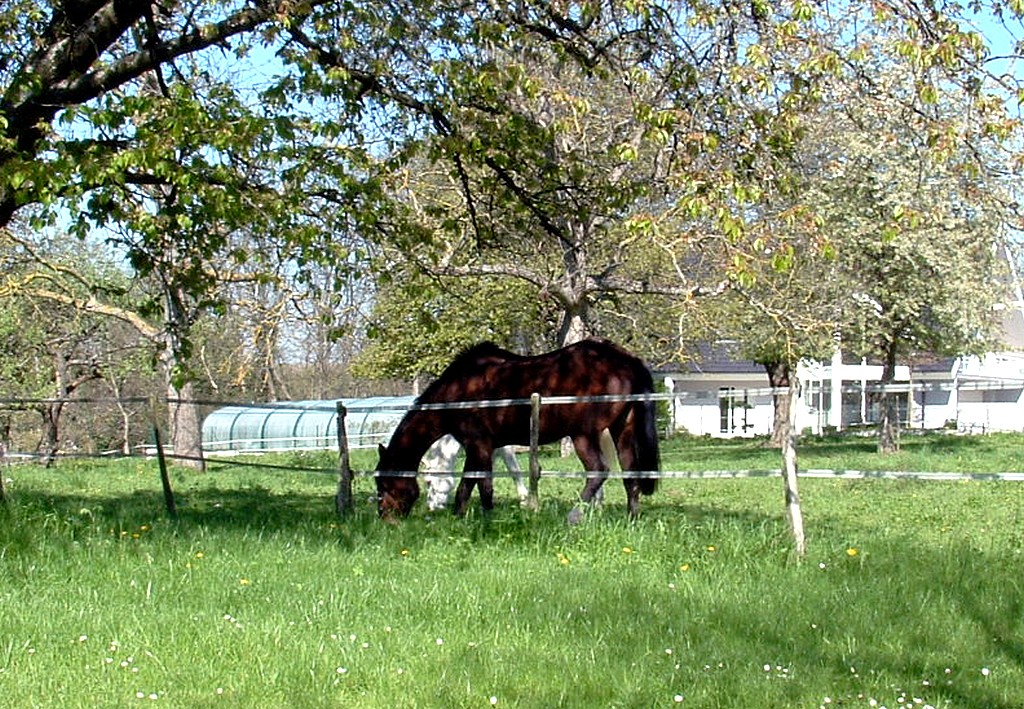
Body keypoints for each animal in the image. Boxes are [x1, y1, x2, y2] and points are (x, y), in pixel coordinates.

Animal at [374, 338, 655, 520]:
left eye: (384, 484)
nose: (385, 517)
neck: (458, 391)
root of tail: (626, 360)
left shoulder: (479, 445)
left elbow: (478, 485)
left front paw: (480, 519)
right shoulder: (484, 448)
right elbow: (474, 485)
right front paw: (467, 518)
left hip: (583, 435)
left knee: (598, 471)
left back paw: (574, 516)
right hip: (623, 431)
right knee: (631, 475)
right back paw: (632, 520)